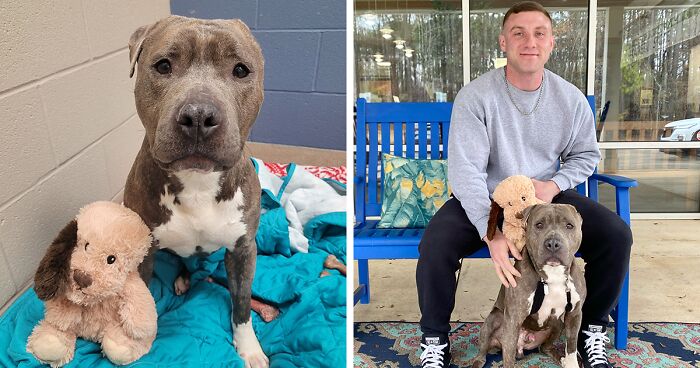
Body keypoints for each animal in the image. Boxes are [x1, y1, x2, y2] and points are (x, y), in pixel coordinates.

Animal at [124, 15, 270, 366]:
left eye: (241, 70)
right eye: (163, 65)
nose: (199, 115)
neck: (197, 181)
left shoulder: (243, 249)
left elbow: (242, 303)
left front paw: (249, 348)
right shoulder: (143, 254)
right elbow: (142, 297)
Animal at [470, 204, 584, 368]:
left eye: (569, 226)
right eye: (539, 225)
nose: (553, 243)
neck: (552, 274)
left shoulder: (574, 314)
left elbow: (572, 346)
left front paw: (571, 362)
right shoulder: (513, 318)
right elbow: (508, 358)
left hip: (558, 324)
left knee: (545, 347)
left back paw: (559, 358)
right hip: (494, 320)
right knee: (483, 352)